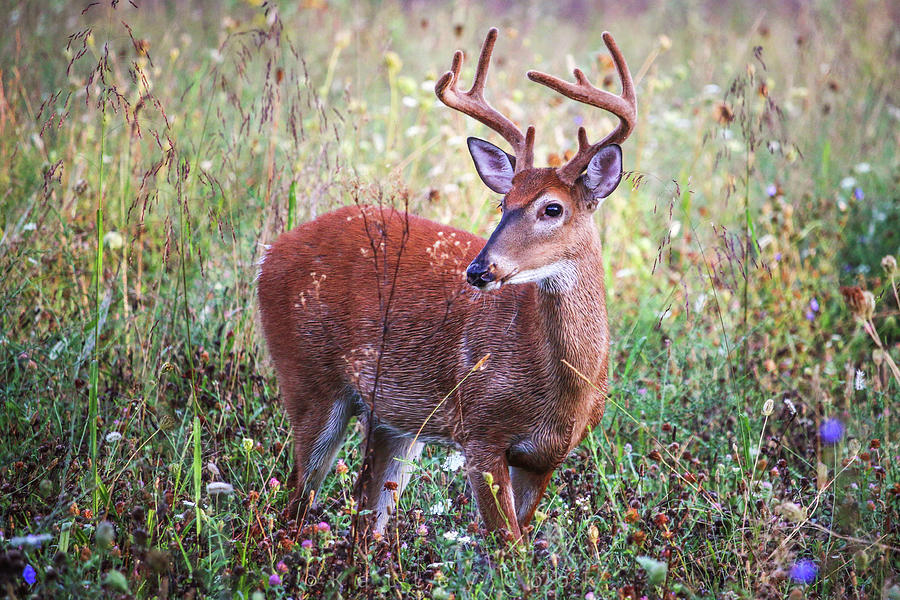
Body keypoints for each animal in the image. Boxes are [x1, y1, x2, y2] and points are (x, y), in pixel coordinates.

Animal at [256, 28, 636, 540]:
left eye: (552, 208)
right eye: (502, 204)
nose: (479, 271)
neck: (564, 385)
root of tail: (268, 254)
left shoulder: (545, 458)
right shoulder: (480, 430)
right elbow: (507, 547)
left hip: (393, 421)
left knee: (366, 519)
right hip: (308, 379)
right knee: (295, 502)